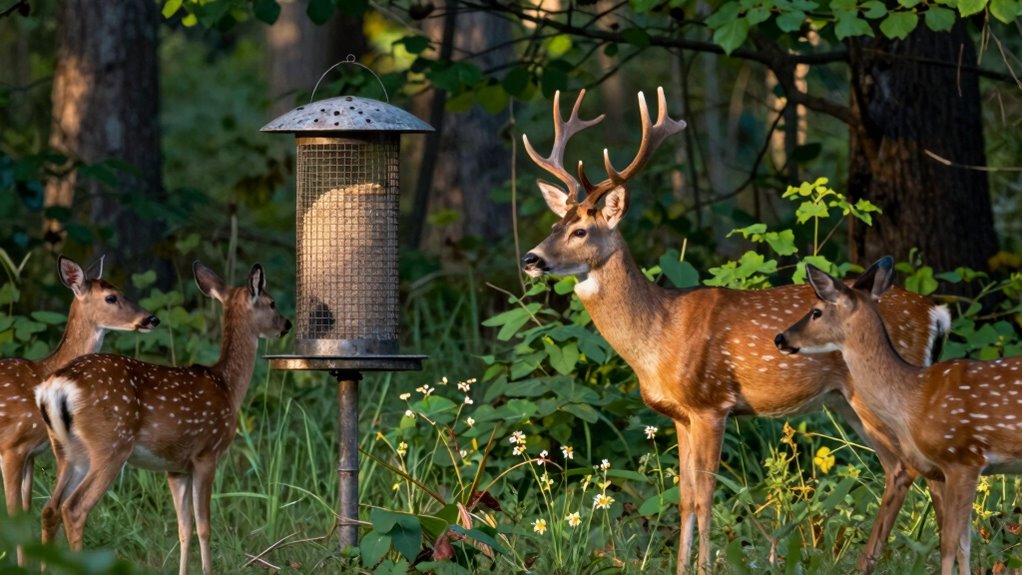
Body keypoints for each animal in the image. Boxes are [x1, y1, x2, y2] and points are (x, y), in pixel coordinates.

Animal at [0, 255, 158, 564]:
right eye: (111, 297)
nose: (151, 319)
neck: (42, 373)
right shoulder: (12, 446)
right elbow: (13, 516)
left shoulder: (32, 454)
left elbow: (25, 512)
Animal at [34, 261, 291, 575]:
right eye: (272, 302)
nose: (286, 324)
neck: (228, 387)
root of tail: (56, 385)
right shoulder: (207, 453)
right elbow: (204, 527)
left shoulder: (176, 467)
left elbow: (183, 528)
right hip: (110, 445)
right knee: (73, 509)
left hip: (66, 451)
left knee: (50, 508)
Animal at [518, 88, 951, 574]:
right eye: (553, 225)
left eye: (580, 230)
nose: (531, 259)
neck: (657, 337)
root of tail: (935, 311)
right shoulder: (679, 414)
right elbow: (684, 499)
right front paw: (681, 567)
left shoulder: (711, 403)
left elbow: (706, 497)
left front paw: (705, 567)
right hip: (847, 401)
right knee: (913, 470)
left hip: (877, 393)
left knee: (907, 467)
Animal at [776, 257, 1022, 575]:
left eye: (816, 311)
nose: (780, 337)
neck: (913, 397)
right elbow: (962, 543)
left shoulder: (963, 458)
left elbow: (951, 545)